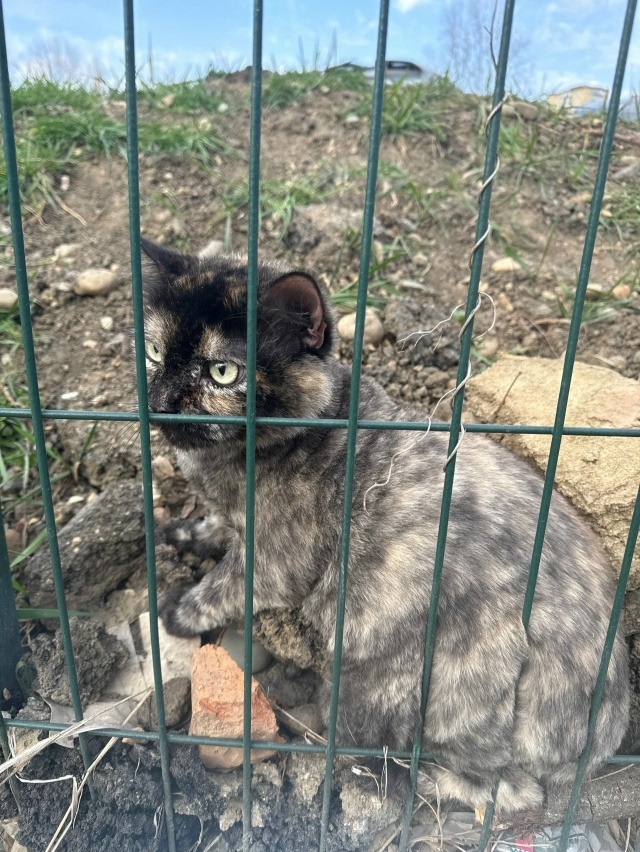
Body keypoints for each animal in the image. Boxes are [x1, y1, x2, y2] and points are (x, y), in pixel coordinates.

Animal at [140, 236, 629, 817]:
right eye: (153, 353)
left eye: (221, 373)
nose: (158, 402)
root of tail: (607, 725)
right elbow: (218, 528)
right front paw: (188, 534)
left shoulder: (275, 563)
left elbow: (224, 587)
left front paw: (178, 609)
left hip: (387, 688)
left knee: (511, 789)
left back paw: (420, 779)